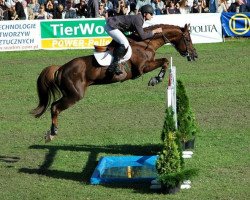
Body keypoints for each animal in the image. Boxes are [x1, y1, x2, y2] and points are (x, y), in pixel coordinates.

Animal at [30, 23, 197, 142]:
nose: (194, 55)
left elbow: (164, 61)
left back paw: (51, 132)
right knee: (55, 107)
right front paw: (156, 79)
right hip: (74, 95)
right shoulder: (143, 67)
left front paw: (157, 79)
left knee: (53, 106)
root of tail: (62, 68)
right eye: (188, 39)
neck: (145, 43)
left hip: (70, 94)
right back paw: (52, 132)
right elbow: (164, 61)